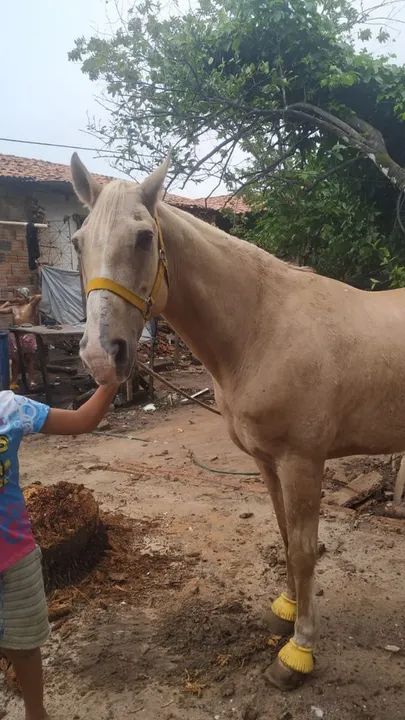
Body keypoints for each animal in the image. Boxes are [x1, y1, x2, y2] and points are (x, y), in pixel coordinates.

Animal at [70, 152, 405, 689]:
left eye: (143, 238)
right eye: (78, 242)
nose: (102, 356)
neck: (261, 327)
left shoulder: (302, 463)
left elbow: (306, 549)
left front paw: (299, 652)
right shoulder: (268, 461)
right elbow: (286, 538)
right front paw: (286, 610)